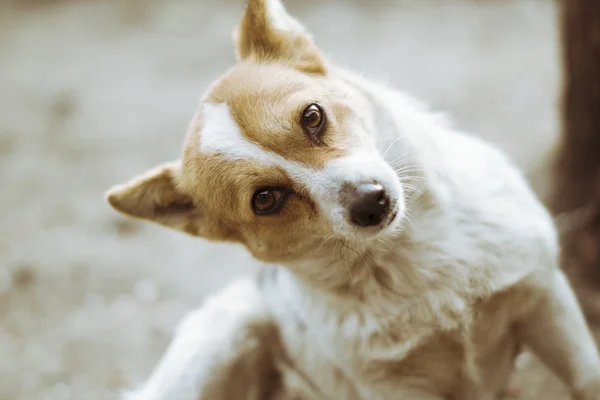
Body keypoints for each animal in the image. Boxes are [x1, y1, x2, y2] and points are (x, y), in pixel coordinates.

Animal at [105, 1, 600, 398]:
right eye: (265, 199)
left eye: (312, 116)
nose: (372, 203)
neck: (407, 254)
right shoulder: (395, 387)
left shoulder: (546, 301)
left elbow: (587, 377)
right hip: (227, 334)